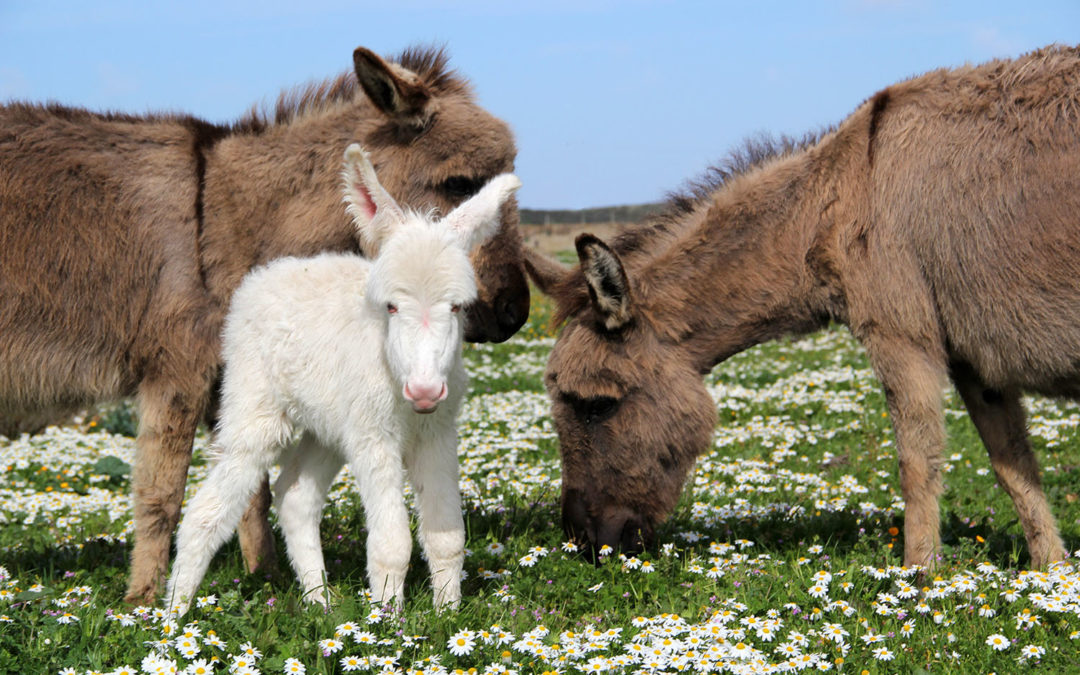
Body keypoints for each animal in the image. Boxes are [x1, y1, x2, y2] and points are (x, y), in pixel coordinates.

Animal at [165, 144, 522, 613]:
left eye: (457, 307)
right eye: (391, 306)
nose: (424, 390)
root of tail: (266, 274)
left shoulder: (437, 433)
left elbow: (446, 536)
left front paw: (447, 612)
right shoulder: (374, 438)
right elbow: (393, 543)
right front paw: (388, 621)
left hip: (328, 429)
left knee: (296, 498)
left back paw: (320, 604)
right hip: (256, 411)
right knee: (205, 511)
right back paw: (172, 614)